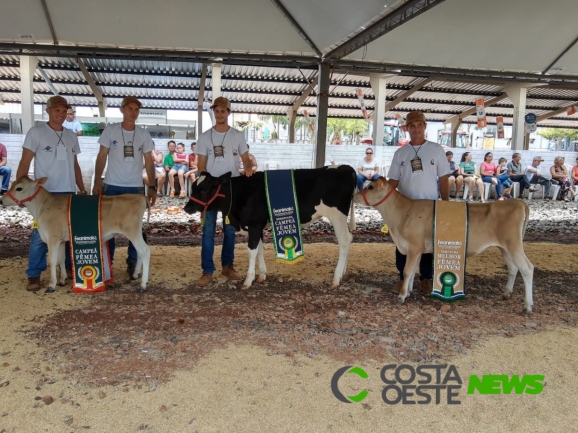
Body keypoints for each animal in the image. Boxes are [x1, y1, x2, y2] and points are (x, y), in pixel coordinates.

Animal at [1, 176, 150, 294]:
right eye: (12, 184)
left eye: (19, 188)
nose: (1, 200)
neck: (42, 207)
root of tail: (141, 197)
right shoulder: (61, 240)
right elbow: (61, 259)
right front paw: (62, 280)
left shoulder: (52, 237)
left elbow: (52, 261)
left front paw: (52, 285)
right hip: (135, 232)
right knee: (139, 252)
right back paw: (135, 275)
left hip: (132, 231)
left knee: (145, 251)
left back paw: (143, 285)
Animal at [184, 167, 356, 288]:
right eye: (193, 187)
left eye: (204, 189)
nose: (186, 208)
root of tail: (346, 168)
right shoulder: (258, 225)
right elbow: (259, 249)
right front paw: (261, 276)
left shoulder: (254, 224)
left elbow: (252, 251)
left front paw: (248, 280)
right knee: (349, 238)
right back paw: (343, 273)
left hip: (337, 215)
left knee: (344, 240)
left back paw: (336, 278)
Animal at [354, 177, 532, 312]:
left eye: (370, 187)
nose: (355, 196)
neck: (402, 215)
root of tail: (518, 202)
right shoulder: (416, 249)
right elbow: (412, 272)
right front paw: (409, 291)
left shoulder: (414, 246)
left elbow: (406, 271)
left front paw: (402, 296)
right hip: (504, 247)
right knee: (513, 268)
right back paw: (506, 293)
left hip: (514, 244)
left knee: (527, 269)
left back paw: (528, 306)